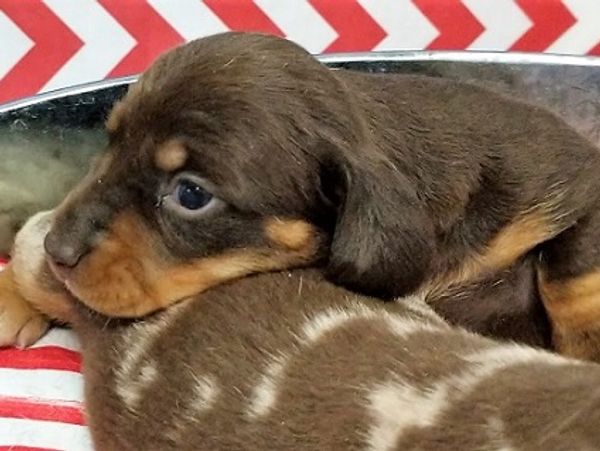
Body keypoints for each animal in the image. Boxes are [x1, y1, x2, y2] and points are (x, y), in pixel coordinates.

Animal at [3, 32, 600, 360]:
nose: (56, 250)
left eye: (191, 195)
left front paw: (584, 353)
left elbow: (570, 277)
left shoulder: (572, 178)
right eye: (110, 142)